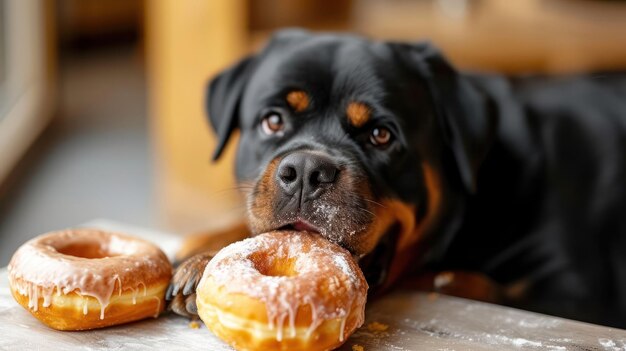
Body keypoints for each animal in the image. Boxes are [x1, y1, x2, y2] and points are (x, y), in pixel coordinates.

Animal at [166, 28, 624, 328]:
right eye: (273, 121)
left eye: (381, 135)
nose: (307, 171)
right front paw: (205, 251)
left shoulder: (575, 290)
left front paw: (454, 279)